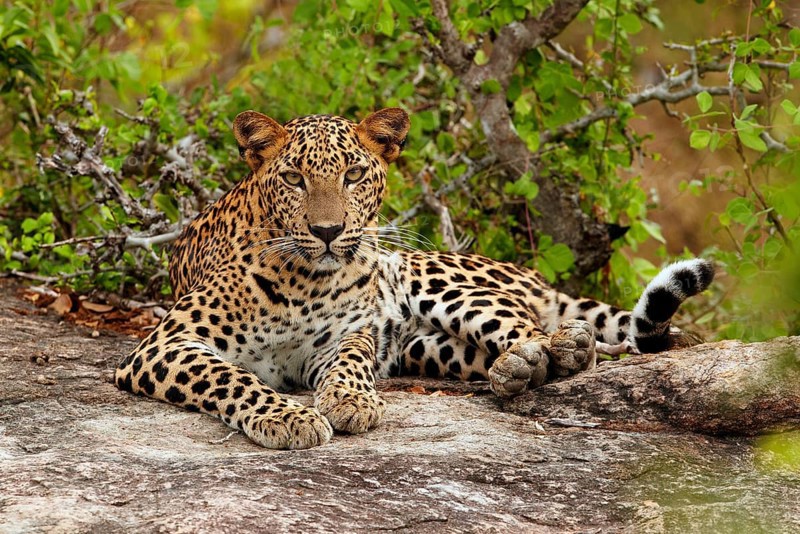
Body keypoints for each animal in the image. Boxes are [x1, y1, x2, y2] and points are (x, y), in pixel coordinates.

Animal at [115, 108, 715, 449]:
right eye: (294, 178)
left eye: (354, 174)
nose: (329, 231)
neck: (305, 280)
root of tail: (530, 274)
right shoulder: (164, 345)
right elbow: (231, 377)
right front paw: (287, 416)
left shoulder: (343, 336)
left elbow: (351, 361)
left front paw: (349, 401)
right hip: (427, 348)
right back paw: (516, 370)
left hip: (434, 279)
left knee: (538, 329)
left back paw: (555, 350)